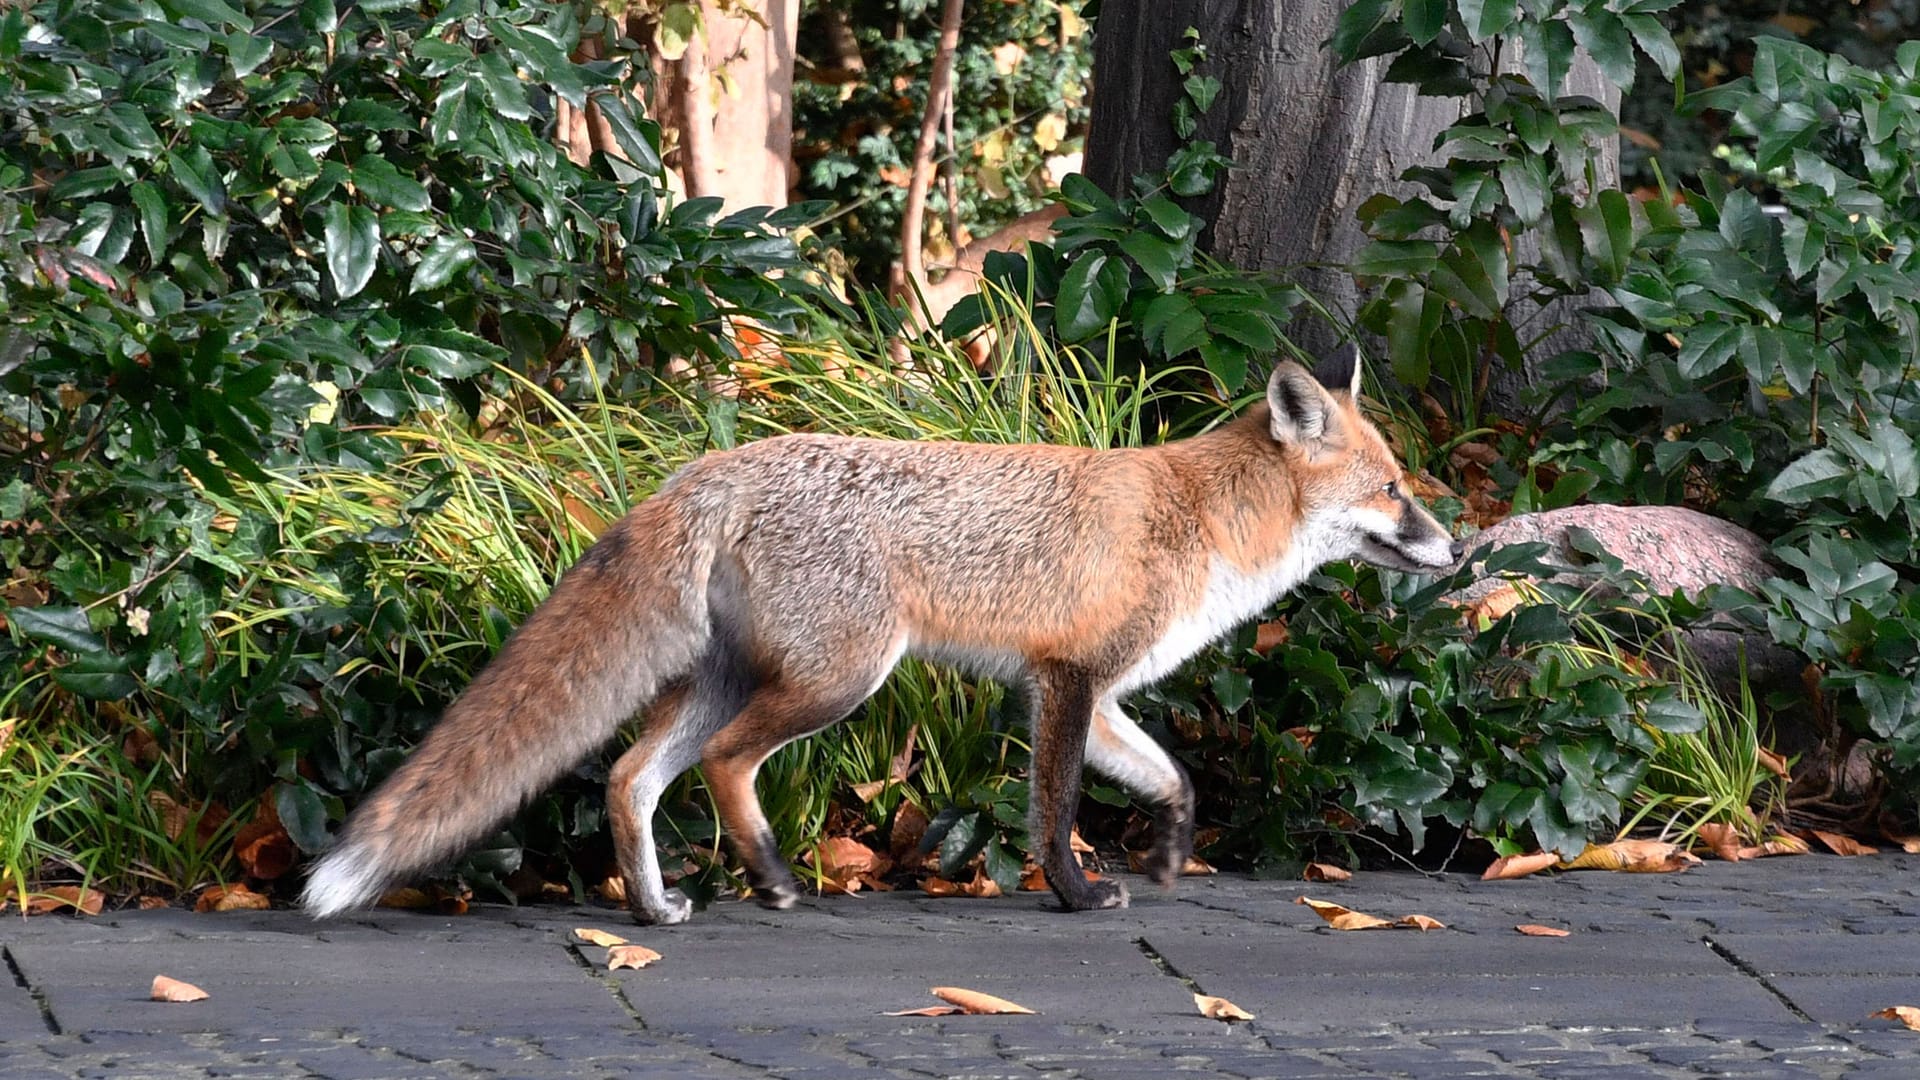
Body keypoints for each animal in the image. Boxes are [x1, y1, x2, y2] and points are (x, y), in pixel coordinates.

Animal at [307, 349, 1459, 922]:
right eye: (1394, 490)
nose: (1454, 550)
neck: (1205, 521)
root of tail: (709, 467)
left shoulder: (1090, 693)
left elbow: (1174, 779)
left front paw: (1172, 855)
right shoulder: (1065, 680)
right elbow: (1055, 815)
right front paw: (1077, 896)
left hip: (732, 681)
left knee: (631, 775)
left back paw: (654, 907)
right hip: (839, 681)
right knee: (724, 768)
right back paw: (771, 881)